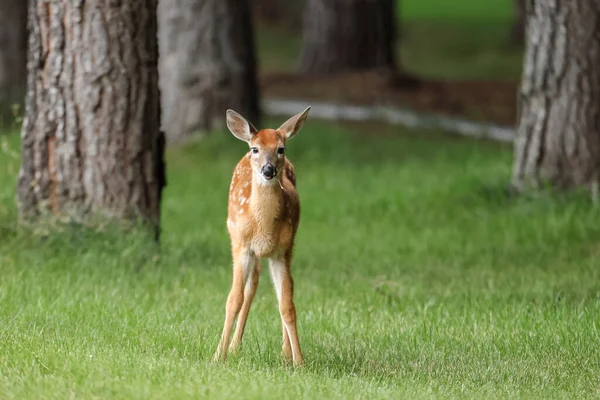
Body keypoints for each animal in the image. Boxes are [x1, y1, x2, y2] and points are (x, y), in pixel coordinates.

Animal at [213, 105, 312, 366]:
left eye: (281, 149)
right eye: (255, 149)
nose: (268, 169)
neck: (262, 226)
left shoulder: (281, 251)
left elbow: (286, 304)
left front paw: (298, 361)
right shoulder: (242, 246)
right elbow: (233, 300)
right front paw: (218, 356)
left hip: (289, 247)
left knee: (279, 290)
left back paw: (284, 352)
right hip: (237, 240)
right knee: (250, 287)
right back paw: (233, 347)